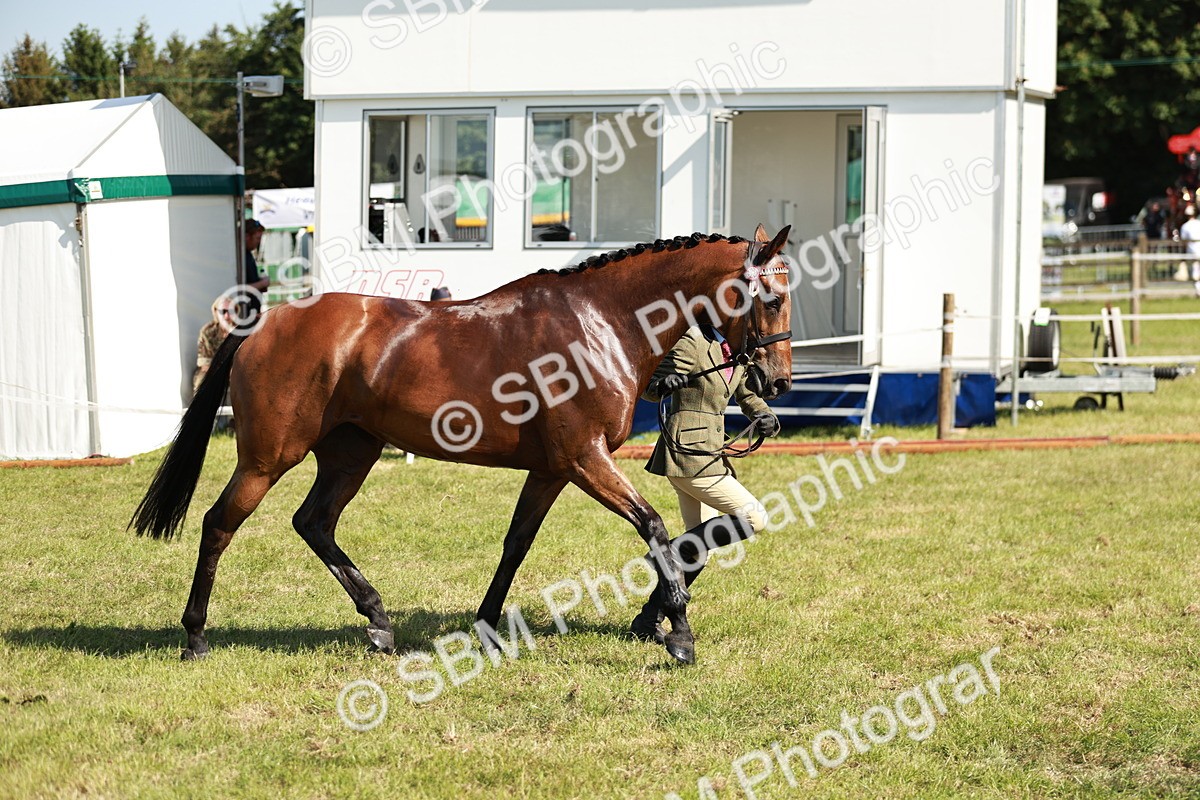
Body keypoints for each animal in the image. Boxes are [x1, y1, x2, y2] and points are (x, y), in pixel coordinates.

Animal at [130, 224, 794, 665]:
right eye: (772, 297)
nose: (777, 382)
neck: (600, 322)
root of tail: (263, 322)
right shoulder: (586, 459)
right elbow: (654, 527)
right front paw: (677, 632)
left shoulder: (553, 469)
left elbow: (516, 544)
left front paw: (487, 628)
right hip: (267, 459)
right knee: (219, 524)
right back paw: (195, 638)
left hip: (351, 453)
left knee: (313, 522)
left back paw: (379, 623)